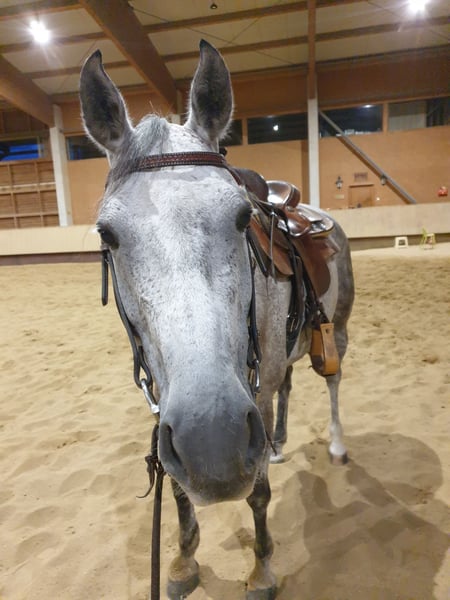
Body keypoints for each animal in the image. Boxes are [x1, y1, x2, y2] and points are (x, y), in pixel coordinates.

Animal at [80, 40, 354, 600]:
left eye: (241, 216)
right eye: (107, 234)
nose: (213, 442)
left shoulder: (251, 397)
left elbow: (258, 495)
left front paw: (262, 571)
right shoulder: (169, 402)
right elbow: (178, 491)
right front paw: (183, 562)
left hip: (334, 329)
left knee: (332, 382)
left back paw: (335, 444)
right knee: (287, 386)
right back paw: (278, 445)